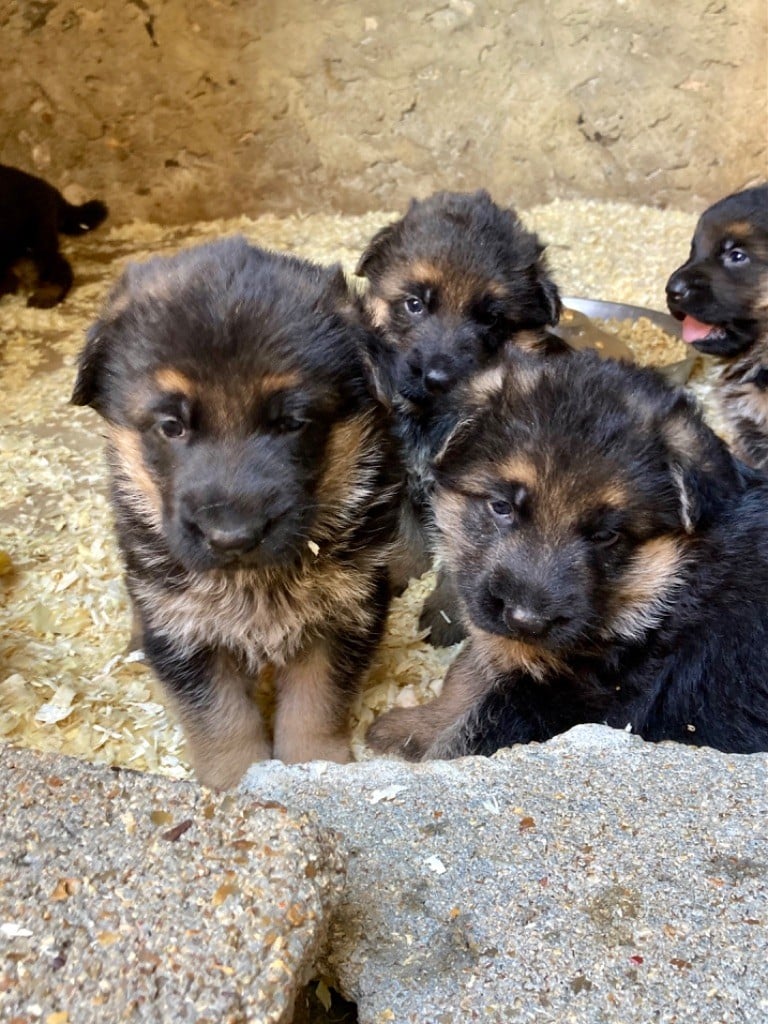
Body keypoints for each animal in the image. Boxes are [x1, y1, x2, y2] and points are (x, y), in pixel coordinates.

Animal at [72, 239, 403, 790]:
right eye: (171, 426)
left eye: (294, 422)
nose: (232, 536)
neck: (254, 582)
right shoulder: (184, 627)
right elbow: (220, 719)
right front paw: (235, 781)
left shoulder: (345, 613)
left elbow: (316, 703)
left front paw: (315, 768)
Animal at [356, 188, 565, 643]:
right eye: (414, 304)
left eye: (492, 318)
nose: (437, 377)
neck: (432, 420)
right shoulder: (400, 474)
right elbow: (405, 537)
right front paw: (400, 575)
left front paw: (447, 614)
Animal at [366, 352, 768, 761]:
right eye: (501, 506)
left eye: (606, 535)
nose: (526, 621)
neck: (669, 584)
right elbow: (466, 677)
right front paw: (410, 728)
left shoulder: (569, 702)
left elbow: (467, 727)